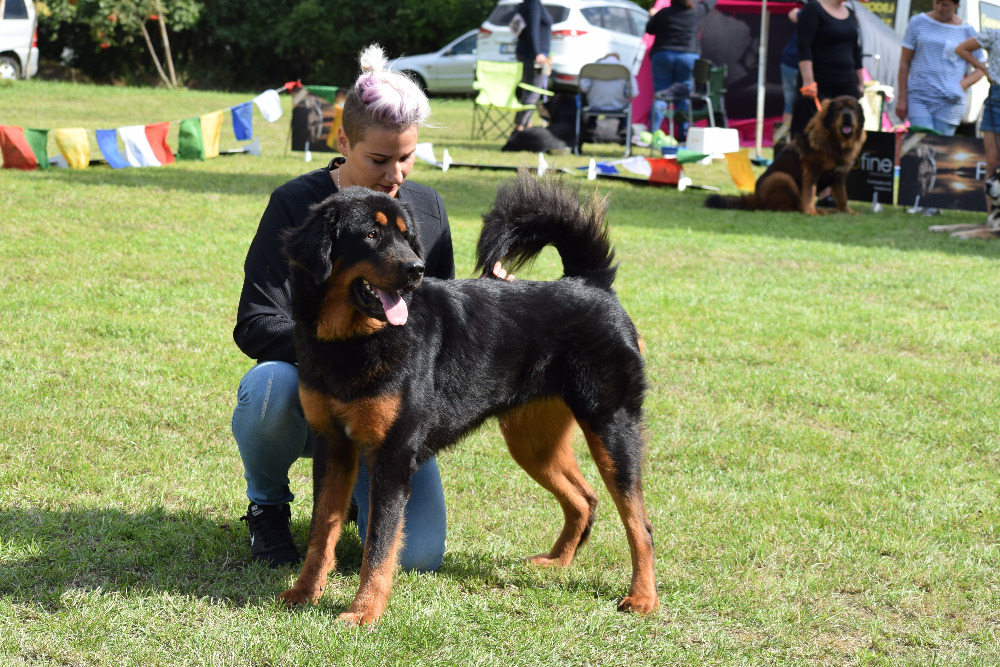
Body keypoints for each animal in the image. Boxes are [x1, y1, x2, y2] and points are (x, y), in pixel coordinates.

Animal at [280, 171, 656, 628]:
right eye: (371, 234)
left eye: (407, 237)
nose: (417, 270)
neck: (352, 340)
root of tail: (589, 283)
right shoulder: (333, 448)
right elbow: (322, 532)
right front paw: (304, 592)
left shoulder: (391, 458)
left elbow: (380, 546)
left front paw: (364, 611)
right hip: (533, 442)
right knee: (584, 499)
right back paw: (557, 563)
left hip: (611, 428)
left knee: (639, 524)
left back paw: (643, 598)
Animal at [704, 95, 868, 215]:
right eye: (839, 110)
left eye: (853, 109)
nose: (847, 115)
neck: (837, 142)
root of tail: (757, 199)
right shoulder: (811, 171)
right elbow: (809, 193)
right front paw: (810, 212)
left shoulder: (839, 177)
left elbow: (842, 197)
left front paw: (848, 212)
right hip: (781, 177)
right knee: (789, 206)